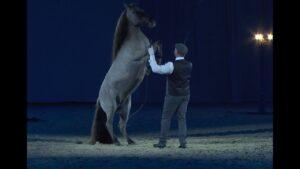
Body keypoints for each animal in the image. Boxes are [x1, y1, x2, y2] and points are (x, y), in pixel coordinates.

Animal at [88, 2, 159, 145]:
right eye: (136, 12)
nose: (152, 21)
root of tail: (100, 98)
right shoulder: (138, 58)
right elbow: (151, 49)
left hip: (125, 108)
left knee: (121, 125)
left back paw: (129, 141)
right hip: (111, 108)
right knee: (109, 123)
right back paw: (116, 142)